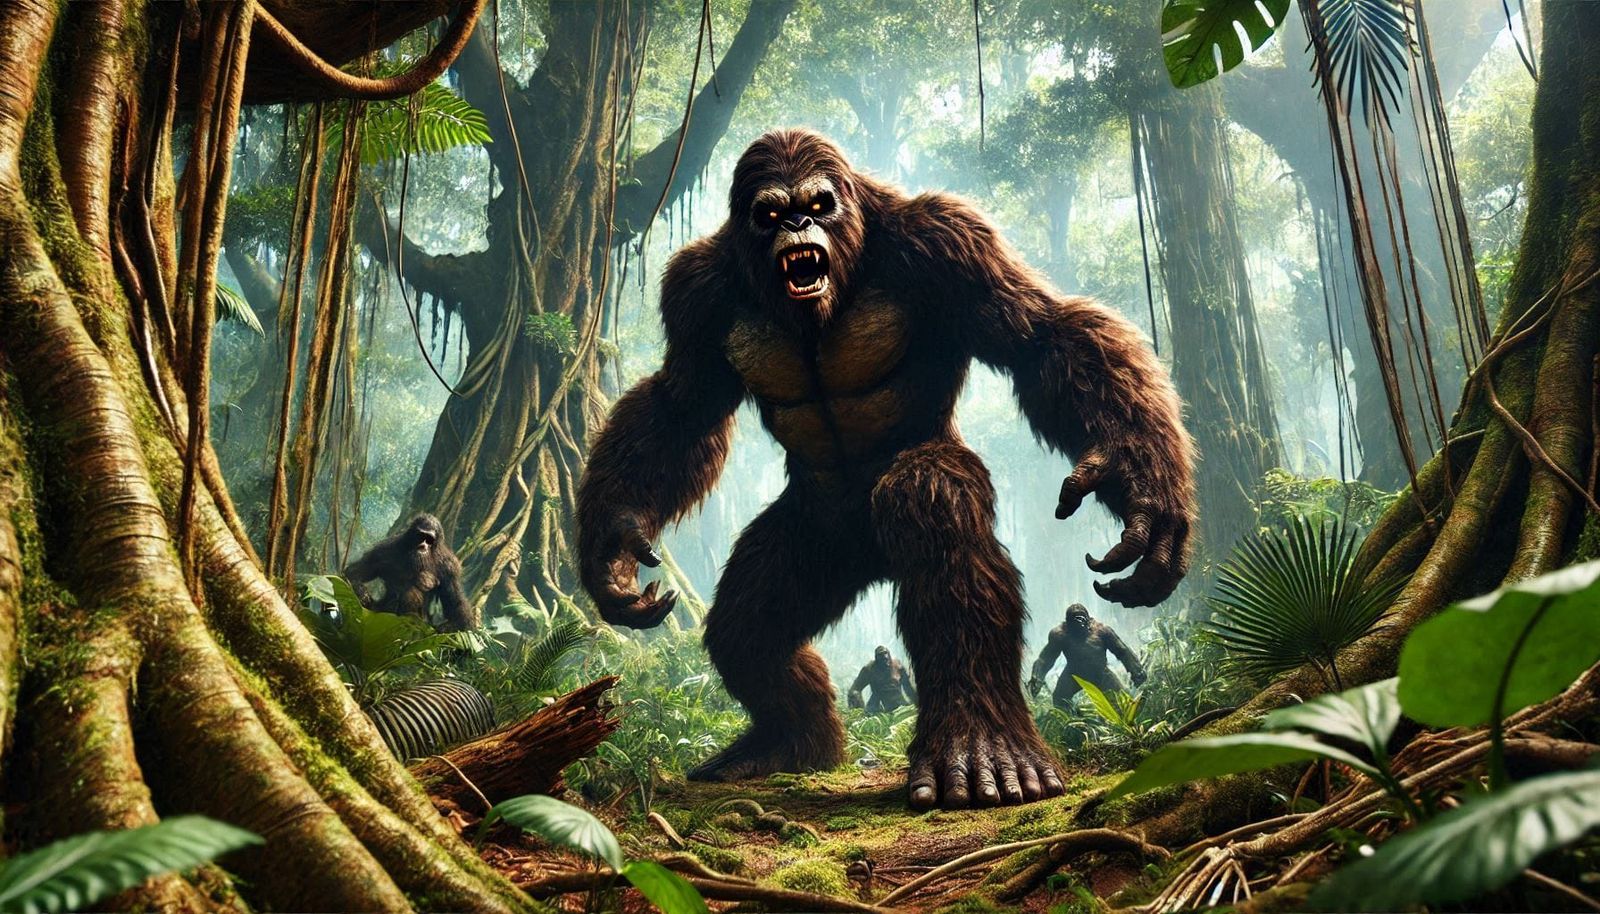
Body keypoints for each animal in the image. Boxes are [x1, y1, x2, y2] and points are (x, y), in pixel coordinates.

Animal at [343, 514, 478, 632]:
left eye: (429, 539)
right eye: (421, 535)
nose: (423, 546)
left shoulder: (449, 567)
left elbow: (455, 600)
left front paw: (454, 626)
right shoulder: (384, 549)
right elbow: (358, 571)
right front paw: (360, 590)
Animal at [577, 128, 1195, 809]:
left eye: (818, 205)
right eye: (770, 213)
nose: (796, 223)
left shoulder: (951, 240)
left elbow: (1041, 337)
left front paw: (1144, 492)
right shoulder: (695, 293)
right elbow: (681, 404)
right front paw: (614, 543)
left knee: (931, 509)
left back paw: (982, 746)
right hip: (818, 540)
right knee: (749, 630)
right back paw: (792, 745)